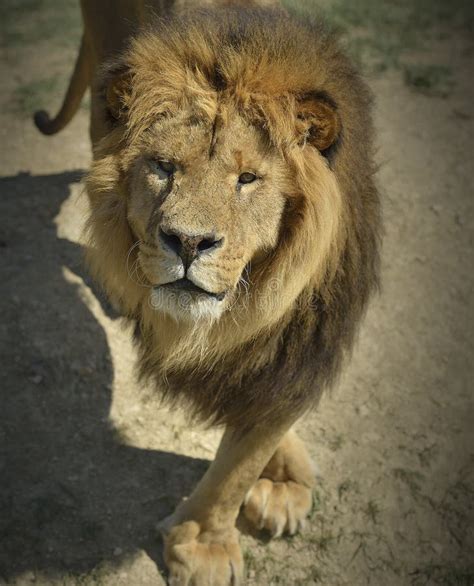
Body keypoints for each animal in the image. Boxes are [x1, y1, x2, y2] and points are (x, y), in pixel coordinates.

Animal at [34, 2, 382, 580]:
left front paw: (223, 524)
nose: (188, 242)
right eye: (163, 167)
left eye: (247, 178)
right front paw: (206, 549)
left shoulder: (295, 355)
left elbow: (241, 463)